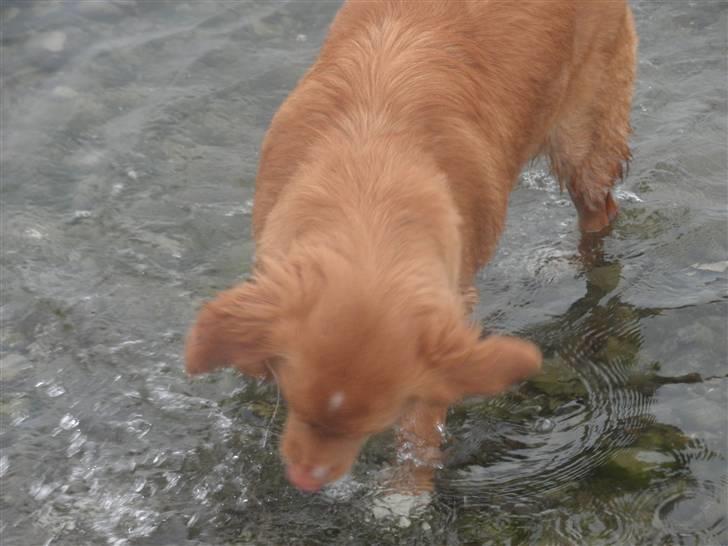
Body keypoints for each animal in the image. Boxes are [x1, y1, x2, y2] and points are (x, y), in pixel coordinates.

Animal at [185, 0, 636, 490]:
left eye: (369, 428)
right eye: (298, 407)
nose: (307, 480)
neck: (369, 183)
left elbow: (422, 428)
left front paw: (404, 492)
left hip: (584, 141)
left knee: (599, 214)